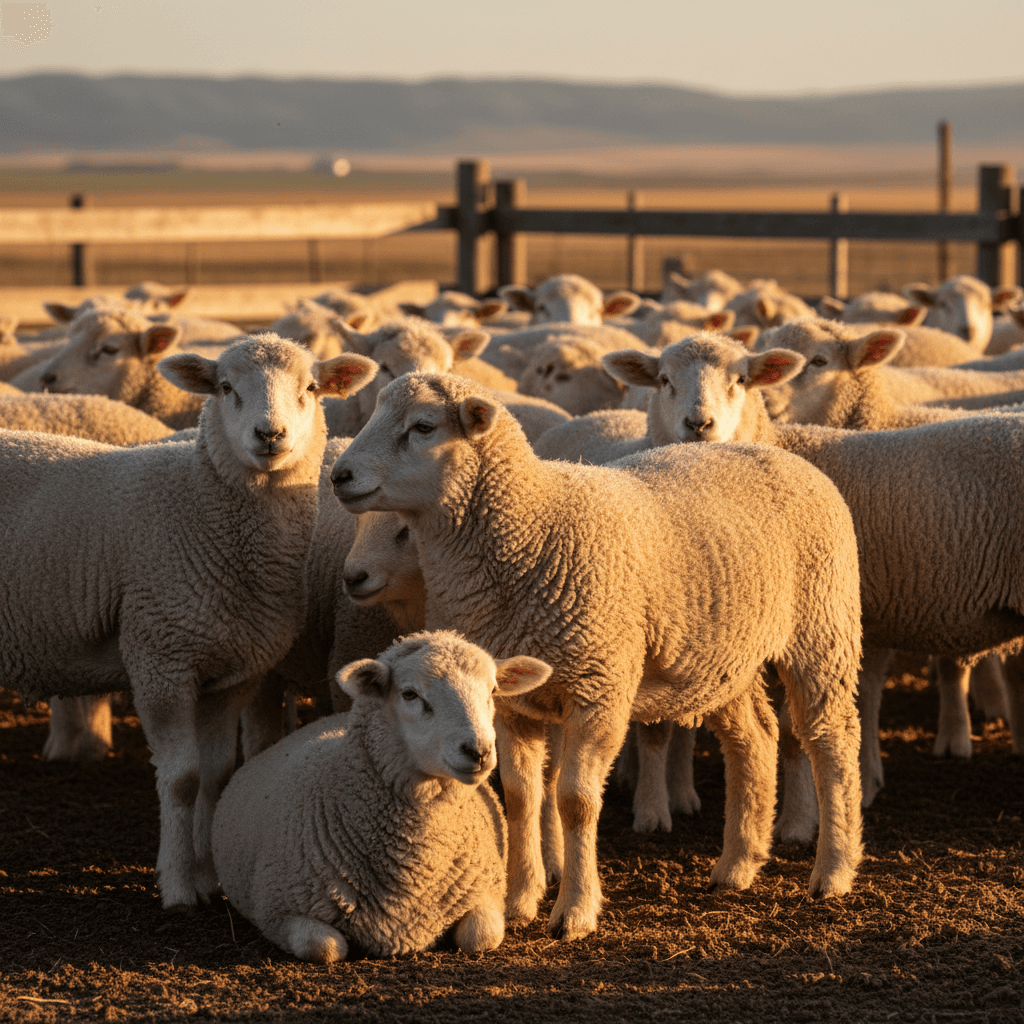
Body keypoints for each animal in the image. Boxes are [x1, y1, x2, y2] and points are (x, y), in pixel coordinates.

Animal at [0, 335, 378, 910]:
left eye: (312, 388)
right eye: (225, 387)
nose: (270, 435)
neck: (200, 505)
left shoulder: (232, 671)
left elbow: (217, 775)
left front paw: (210, 878)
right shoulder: (161, 656)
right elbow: (182, 779)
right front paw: (178, 886)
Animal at [212, 631, 552, 963]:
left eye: (493, 690)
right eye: (409, 694)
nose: (478, 751)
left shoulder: (484, 894)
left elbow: (481, 937)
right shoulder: (280, 910)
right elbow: (326, 947)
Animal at [331, 371, 864, 940]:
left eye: (424, 427)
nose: (340, 476)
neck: (529, 530)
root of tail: (786, 455)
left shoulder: (598, 687)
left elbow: (576, 801)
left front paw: (575, 911)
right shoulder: (509, 703)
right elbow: (521, 797)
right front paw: (519, 901)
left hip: (822, 627)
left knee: (831, 739)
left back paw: (833, 871)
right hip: (723, 659)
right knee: (756, 739)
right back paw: (738, 865)